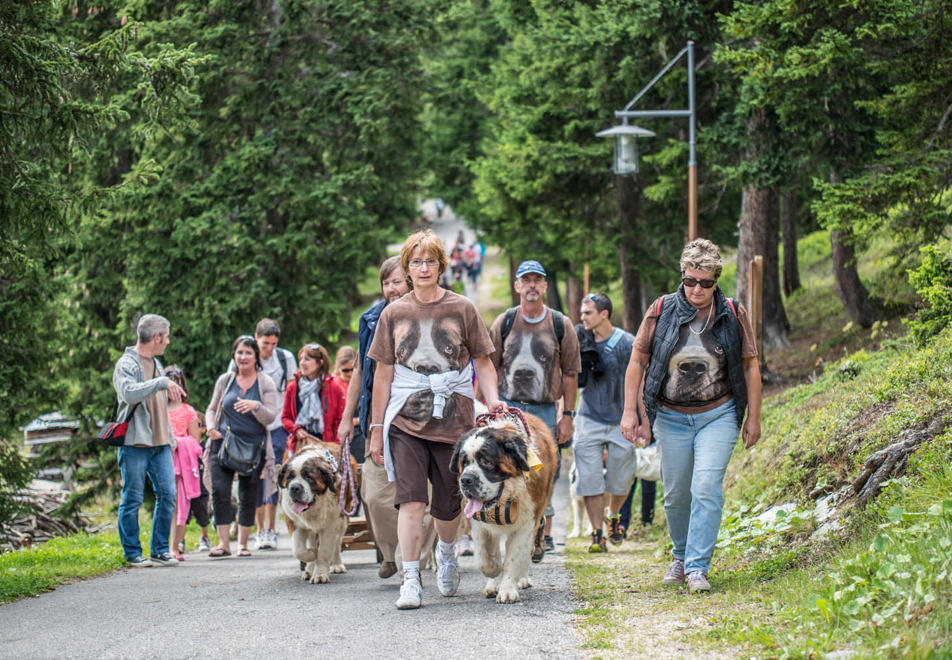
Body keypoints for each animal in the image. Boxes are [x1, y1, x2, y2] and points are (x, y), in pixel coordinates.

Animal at [278, 444, 354, 584]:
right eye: (289, 478)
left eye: (309, 477)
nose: (294, 488)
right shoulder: (293, 521)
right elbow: (298, 549)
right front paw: (312, 554)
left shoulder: (331, 523)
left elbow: (324, 551)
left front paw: (320, 574)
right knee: (312, 541)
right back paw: (309, 569)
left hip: (343, 519)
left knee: (337, 543)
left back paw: (337, 565)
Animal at [452, 412, 556, 604]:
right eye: (464, 462)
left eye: (486, 461)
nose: (466, 480)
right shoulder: (480, 523)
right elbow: (486, 558)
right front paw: (494, 575)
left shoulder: (526, 523)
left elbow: (513, 558)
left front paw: (507, 590)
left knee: (528, 551)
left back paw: (522, 579)